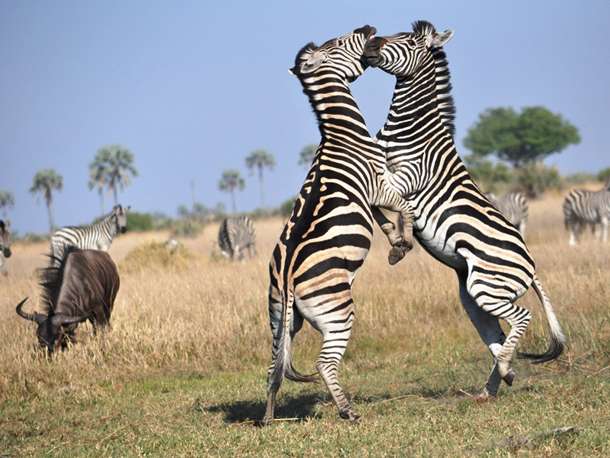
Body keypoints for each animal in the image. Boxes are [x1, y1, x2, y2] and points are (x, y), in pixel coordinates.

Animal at [262, 26, 414, 426]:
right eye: (340, 44)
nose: (367, 28)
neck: (341, 133)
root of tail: (286, 277)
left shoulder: (371, 196)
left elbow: (384, 220)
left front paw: (396, 245)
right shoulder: (380, 183)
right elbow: (404, 208)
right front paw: (404, 243)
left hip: (278, 318)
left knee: (273, 367)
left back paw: (268, 418)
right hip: (337, 312)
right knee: (324, 363)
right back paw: (348, 411)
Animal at [360, 21, 564, 398]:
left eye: (410, 41)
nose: (371, 42)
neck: (408, 131)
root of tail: (531, 266)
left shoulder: (406, 178)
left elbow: (389, 204)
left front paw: (401, 240)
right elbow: (379, 209)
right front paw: (397, 243)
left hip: (487, 287)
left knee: (521, 317)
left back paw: (504, 369)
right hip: (474, 295)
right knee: (495, 331)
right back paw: (494, 384)